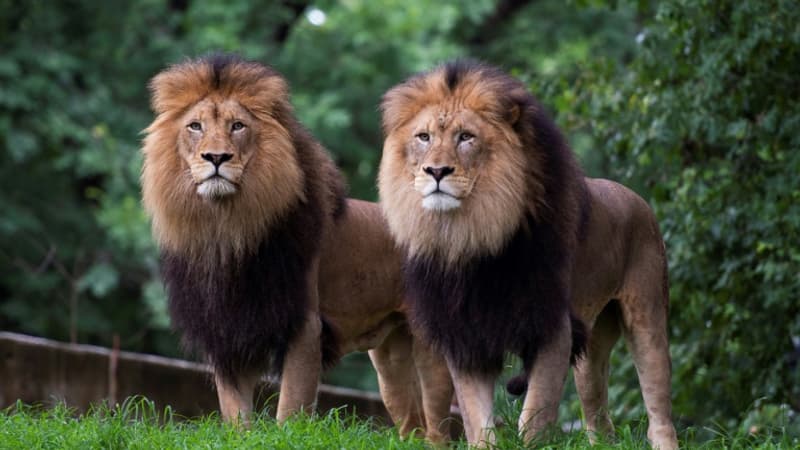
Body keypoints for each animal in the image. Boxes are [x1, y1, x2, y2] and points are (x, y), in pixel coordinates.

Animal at [140, 54, 453, 443]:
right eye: (195, 126)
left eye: (238, 126)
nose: (216, 157)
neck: (226, 229)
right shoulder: (228, 329)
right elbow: (235, 413)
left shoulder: (304, 326)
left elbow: (291, 407)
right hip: (390, 361)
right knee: (411, 423)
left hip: (430, 349)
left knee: (439, 426)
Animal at [378, 60, 679, 449]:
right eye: (423, 137)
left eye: (466, 137)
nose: (437, 171)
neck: (470, 237)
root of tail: (637, 198)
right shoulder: (466, 333)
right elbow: (478, 420)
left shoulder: (553, 326)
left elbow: (534, 416)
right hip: (592, 344)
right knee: (598, 413)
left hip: (647, 316)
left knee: (658, 405)